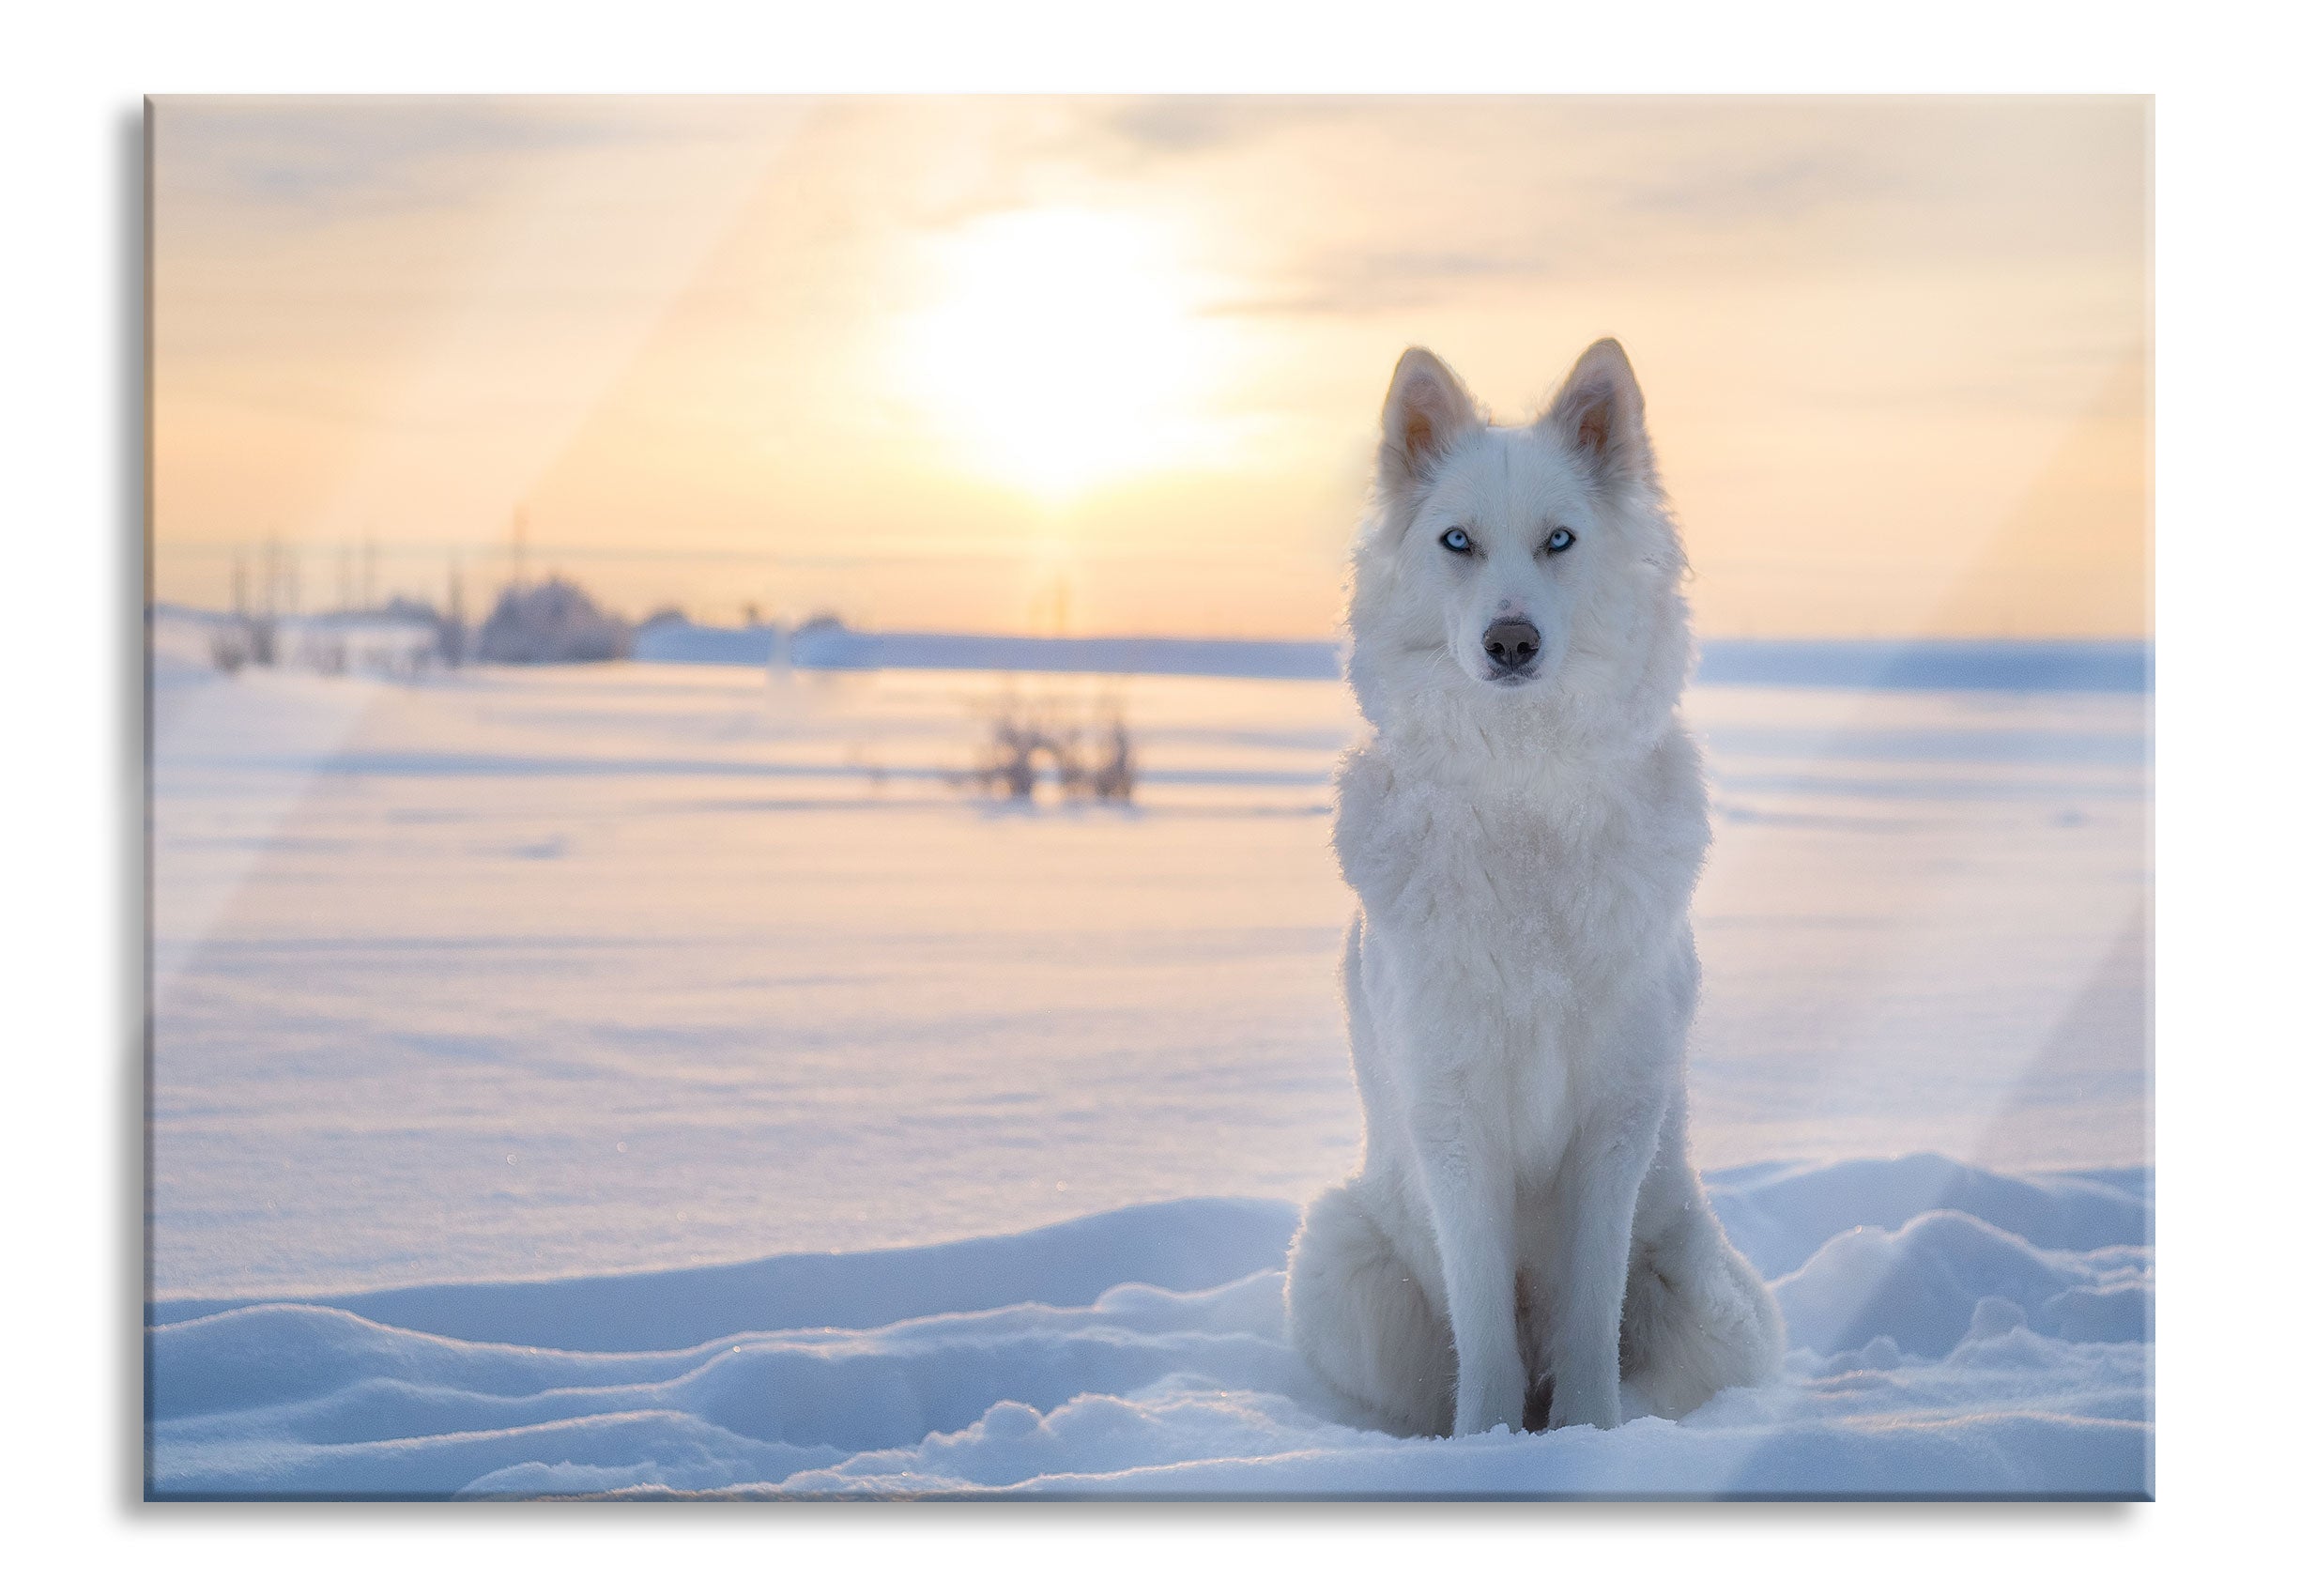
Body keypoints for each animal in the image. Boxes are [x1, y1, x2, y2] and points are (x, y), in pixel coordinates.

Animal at [1288, 345, 1785, 1444]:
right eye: (1456, 542)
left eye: (1559, 539)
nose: (1509, 641)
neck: (1524, 799)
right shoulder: (1451, 1117)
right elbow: (1484, 1332)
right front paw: (1487, 1449)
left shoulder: (1614, 1119)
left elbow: (1589, 1318)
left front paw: (1589, 1441)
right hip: (1338, 1260)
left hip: (1708, 1298)